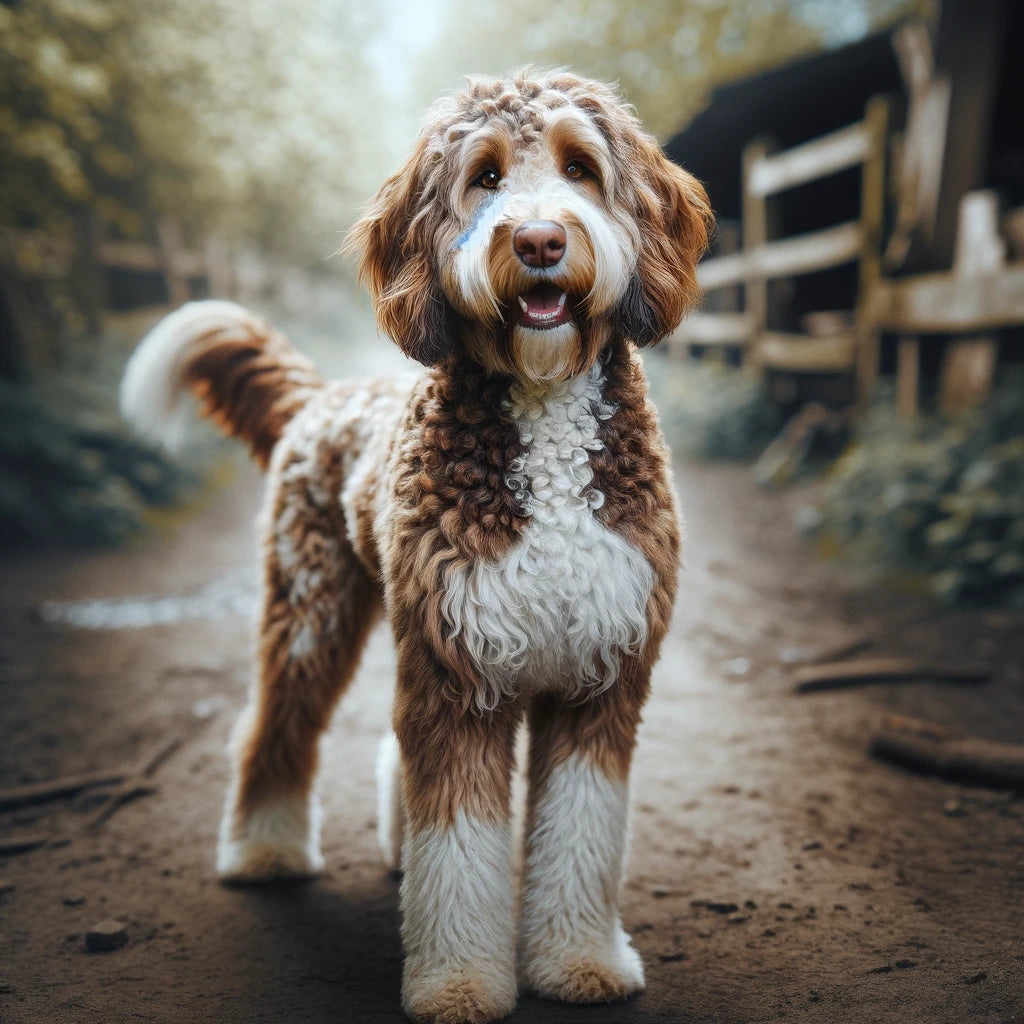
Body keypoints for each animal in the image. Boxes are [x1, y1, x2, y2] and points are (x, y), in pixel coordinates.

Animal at [121, 68, 712, 1019]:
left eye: (581, 168)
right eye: (485, 176)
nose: (540, 241)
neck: (541, 408)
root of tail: (321, 399)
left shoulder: (599, 674)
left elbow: (582, 831)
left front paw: (580, 961)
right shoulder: (458, 672)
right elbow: (462, 841)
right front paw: (460, 982)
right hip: (313, 606)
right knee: (275, 724)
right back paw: (263, 851)